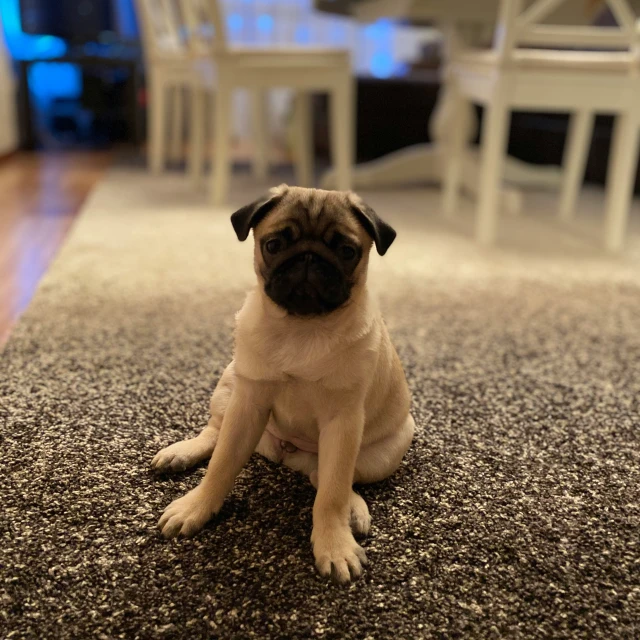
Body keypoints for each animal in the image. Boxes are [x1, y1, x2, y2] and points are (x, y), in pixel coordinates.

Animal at [154, 186, 416, 584]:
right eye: (274, 245)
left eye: (347, 251)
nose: (308, 257)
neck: (302, 327)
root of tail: (286, 454)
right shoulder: (247, 403)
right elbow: (222, 464)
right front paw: (197, 507)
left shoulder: (343, 421)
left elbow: (332, 494)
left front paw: (333, 544)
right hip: (229, 384)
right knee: (214, 433)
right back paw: (181, 452)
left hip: (386, 452)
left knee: (330, 478)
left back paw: (353, 509)